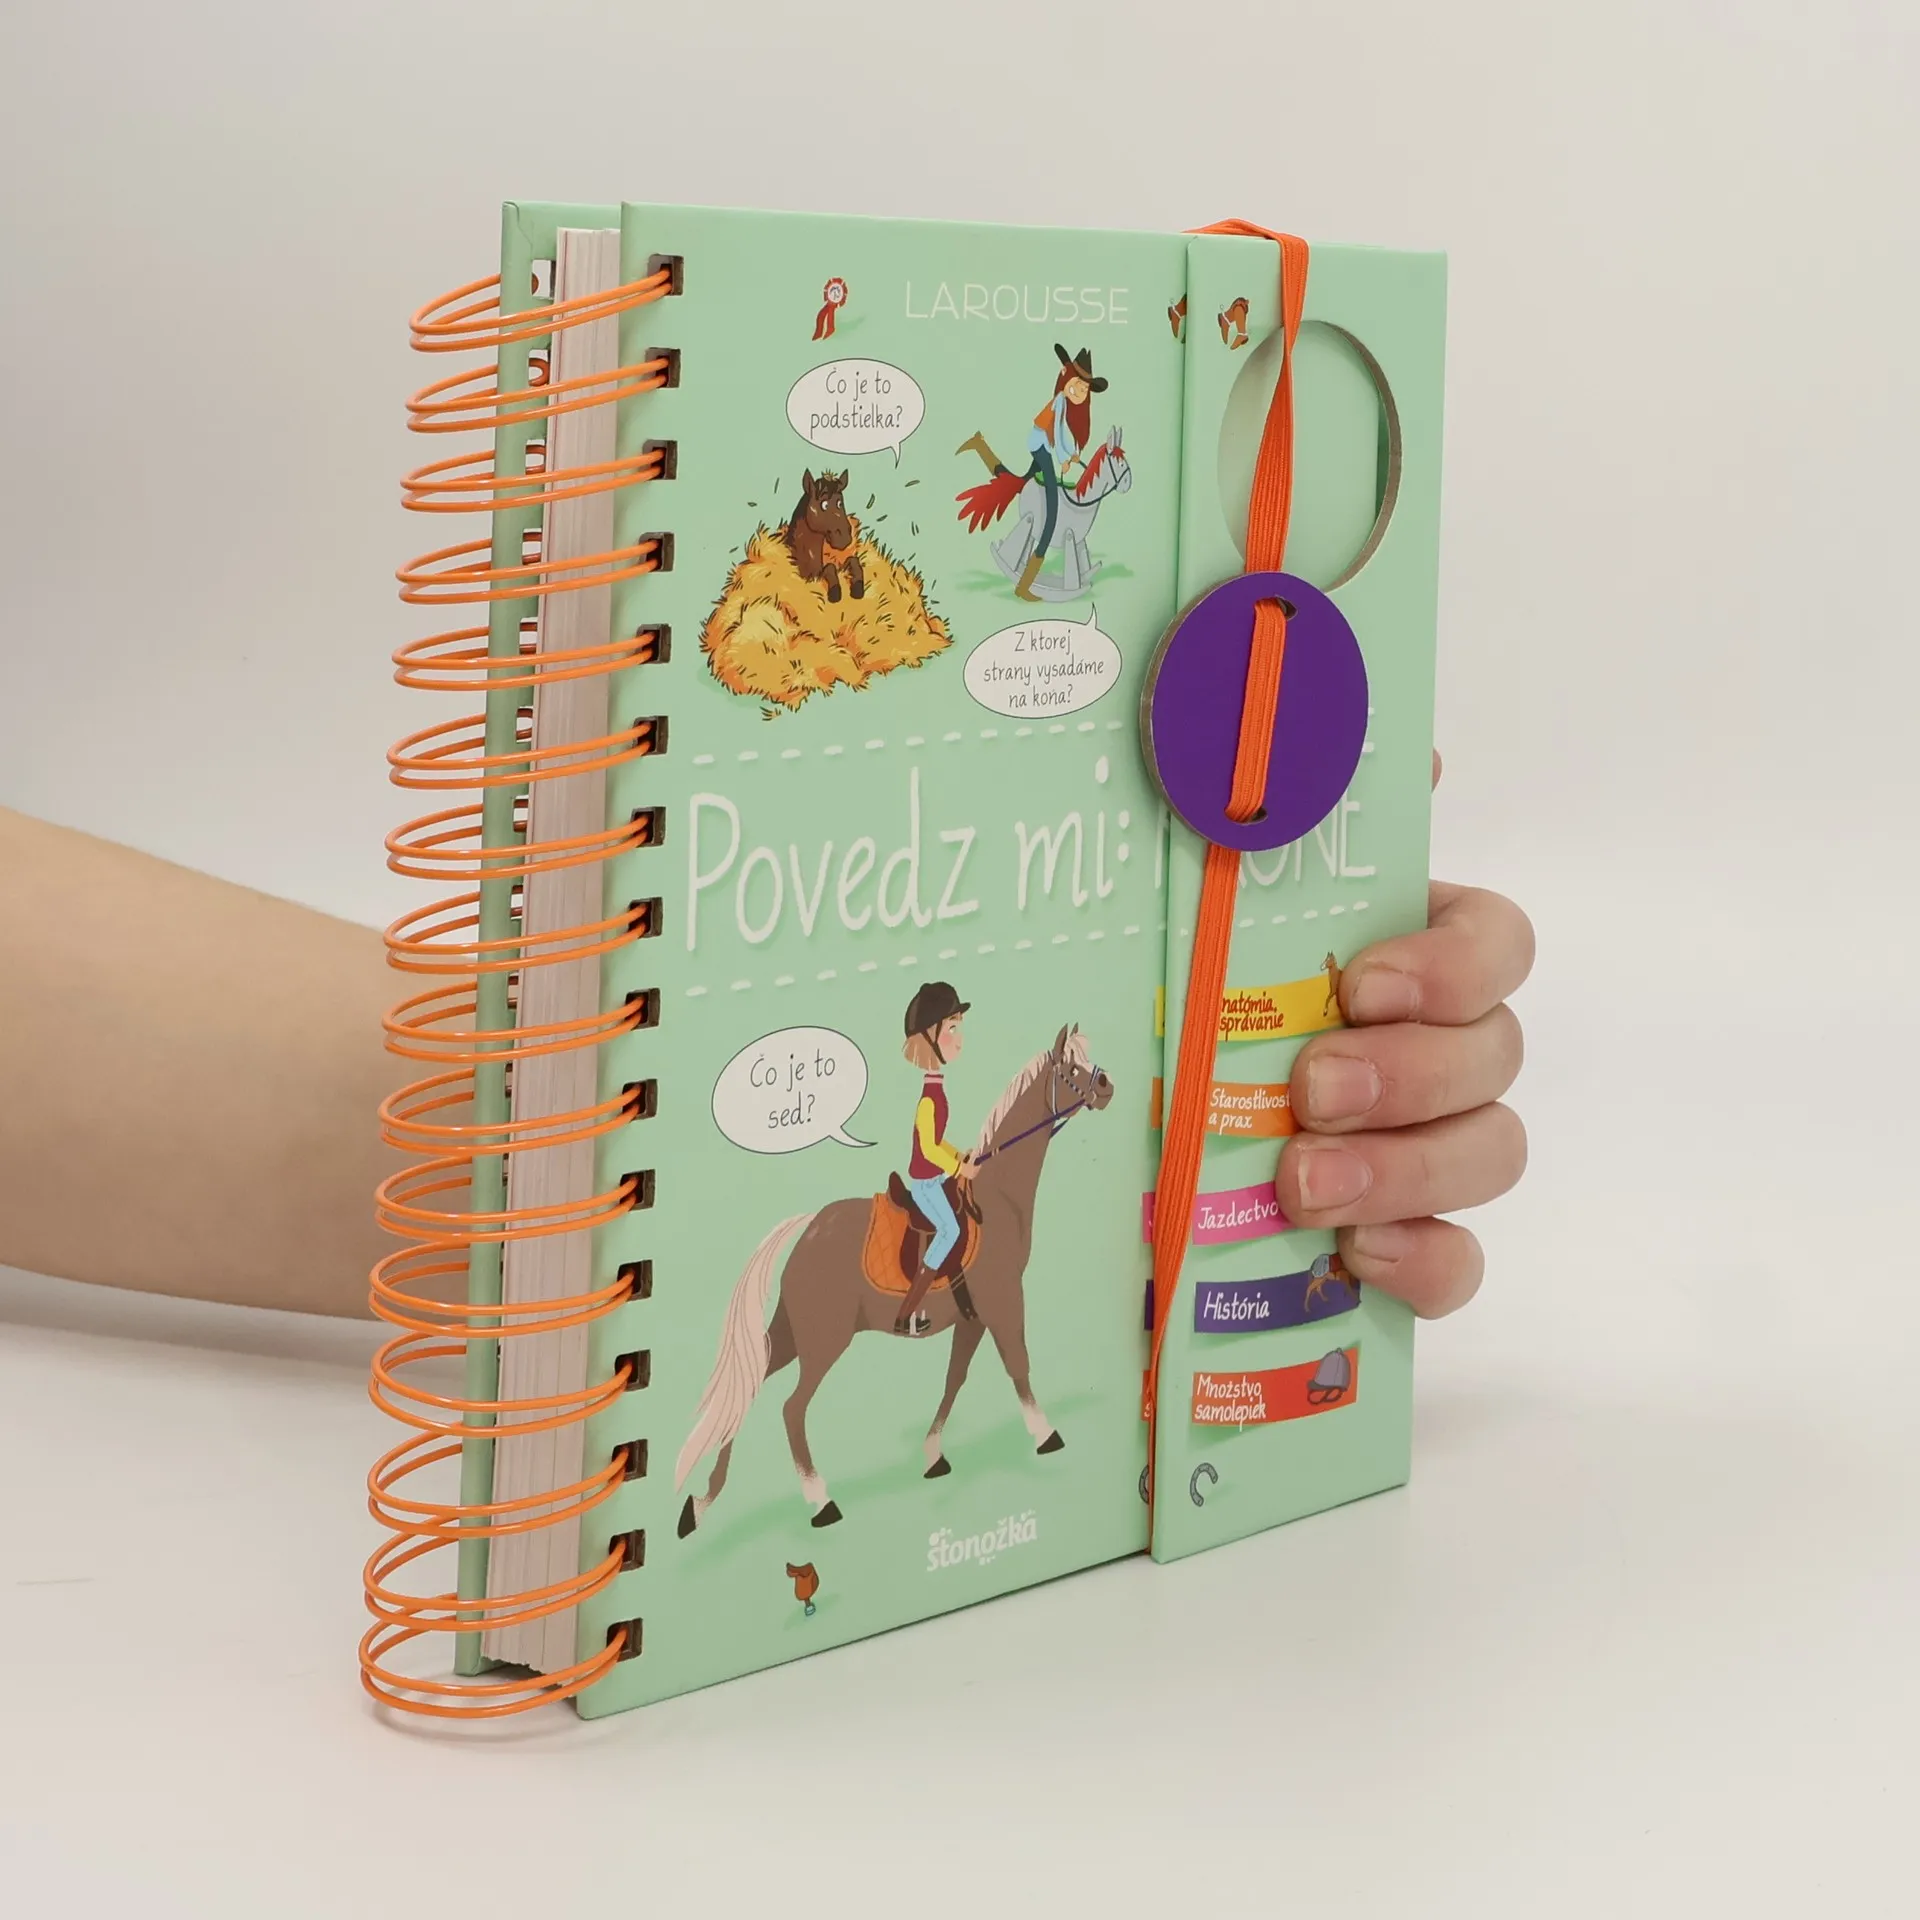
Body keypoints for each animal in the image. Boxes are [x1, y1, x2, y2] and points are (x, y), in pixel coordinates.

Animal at [675, 1024, 1113, 1534]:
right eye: (1071, 1068)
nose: (1107, 1087)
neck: (996, 1194)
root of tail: (809, 1229)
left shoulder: (972, 1316)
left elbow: (955, 1378)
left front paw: (933, 1454)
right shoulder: (1003, 1300)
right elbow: (1017, 1364)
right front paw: (1045, 1433)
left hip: (791, 1334)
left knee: (749, 1392)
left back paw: (701, 1504)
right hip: (825, 1341)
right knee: (792, 1409)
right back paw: (820, 1501)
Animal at [784, 468, 865, 603]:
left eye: (840, 503)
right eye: (824, 505)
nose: (844, 538)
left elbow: (853, 561)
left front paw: (858, 588)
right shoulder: (812, 576)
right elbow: (829, 568)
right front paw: (835, 592)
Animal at [984, 428, 1132, 603]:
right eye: (1120, 463)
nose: (1128, 483)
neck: (1081, 502)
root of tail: (1028, 482)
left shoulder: (1080, 539)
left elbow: (1085, 565)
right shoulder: (1069, 536)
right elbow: (1073, 578)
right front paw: (1076, 590)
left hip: (1033, 529)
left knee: (1025, 549)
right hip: (1029, 519)